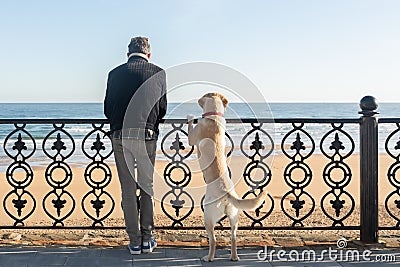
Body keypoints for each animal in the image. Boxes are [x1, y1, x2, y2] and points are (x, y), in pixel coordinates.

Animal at [188, 92, 268, 262]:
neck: (214, 116)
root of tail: (227, 193)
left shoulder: (192, 137)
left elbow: (190, 129)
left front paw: (190, 117)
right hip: (234, 217)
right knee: (233, 237)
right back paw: (234, 257)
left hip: (208, 216)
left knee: (213, 240)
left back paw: (208, 258)